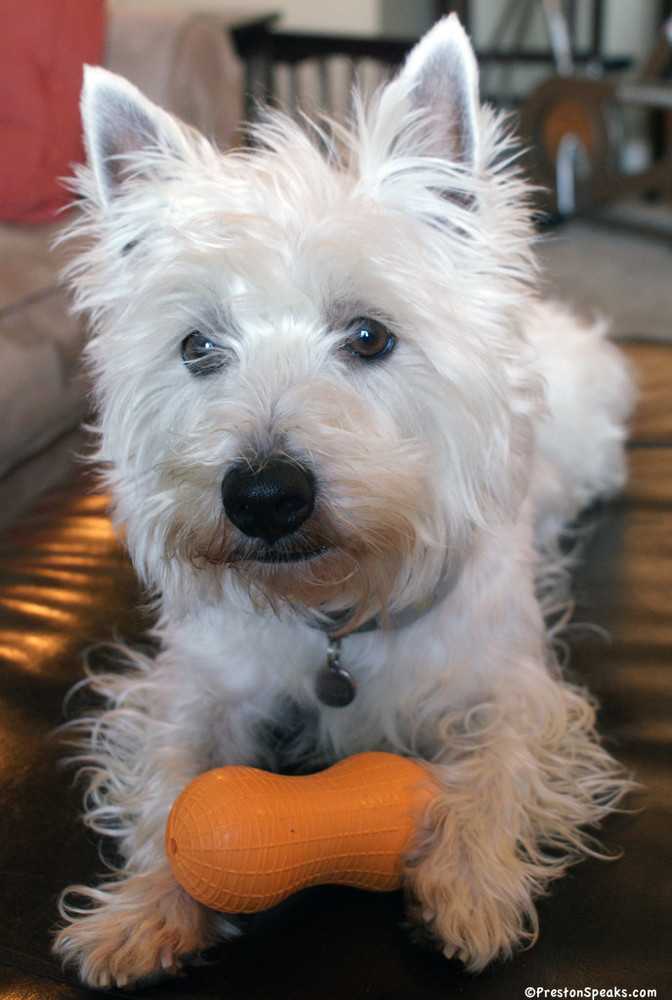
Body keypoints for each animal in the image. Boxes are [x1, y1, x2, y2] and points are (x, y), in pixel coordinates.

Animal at [53, 17, 636, 992]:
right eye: (198, 347)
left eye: (369, 336)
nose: (262, 497)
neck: (333, 613)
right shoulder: (197, 682)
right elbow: (171, 781)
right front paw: (142, 914)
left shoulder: (513, 684)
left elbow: (501, 768)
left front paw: (470, 889)